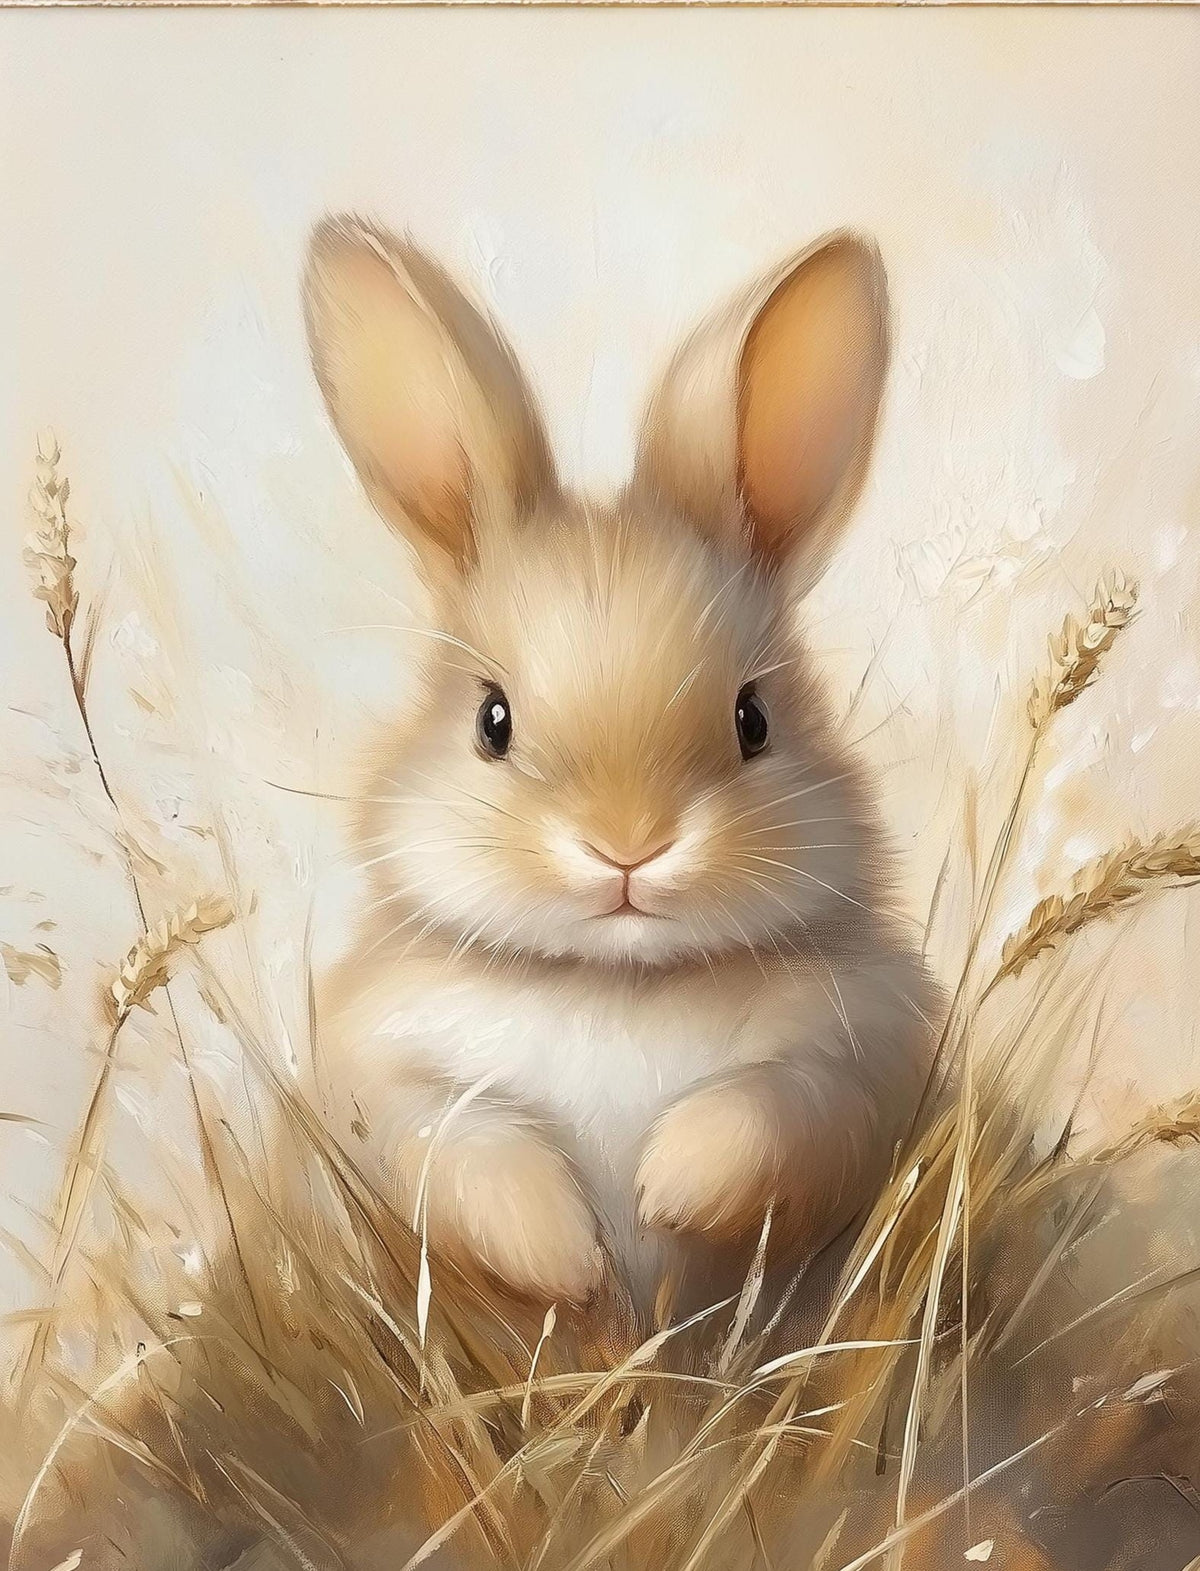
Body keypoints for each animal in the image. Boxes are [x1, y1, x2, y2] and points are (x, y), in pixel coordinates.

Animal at [303, 215, 937, 1323]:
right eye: (493, 720)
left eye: (753, 719)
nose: (628, 847)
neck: (617, 983)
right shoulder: (386, 1077)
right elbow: (461, 1157)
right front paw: (572, 1257)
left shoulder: (864, 1052)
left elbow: (779, 1115)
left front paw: (667, 1185)